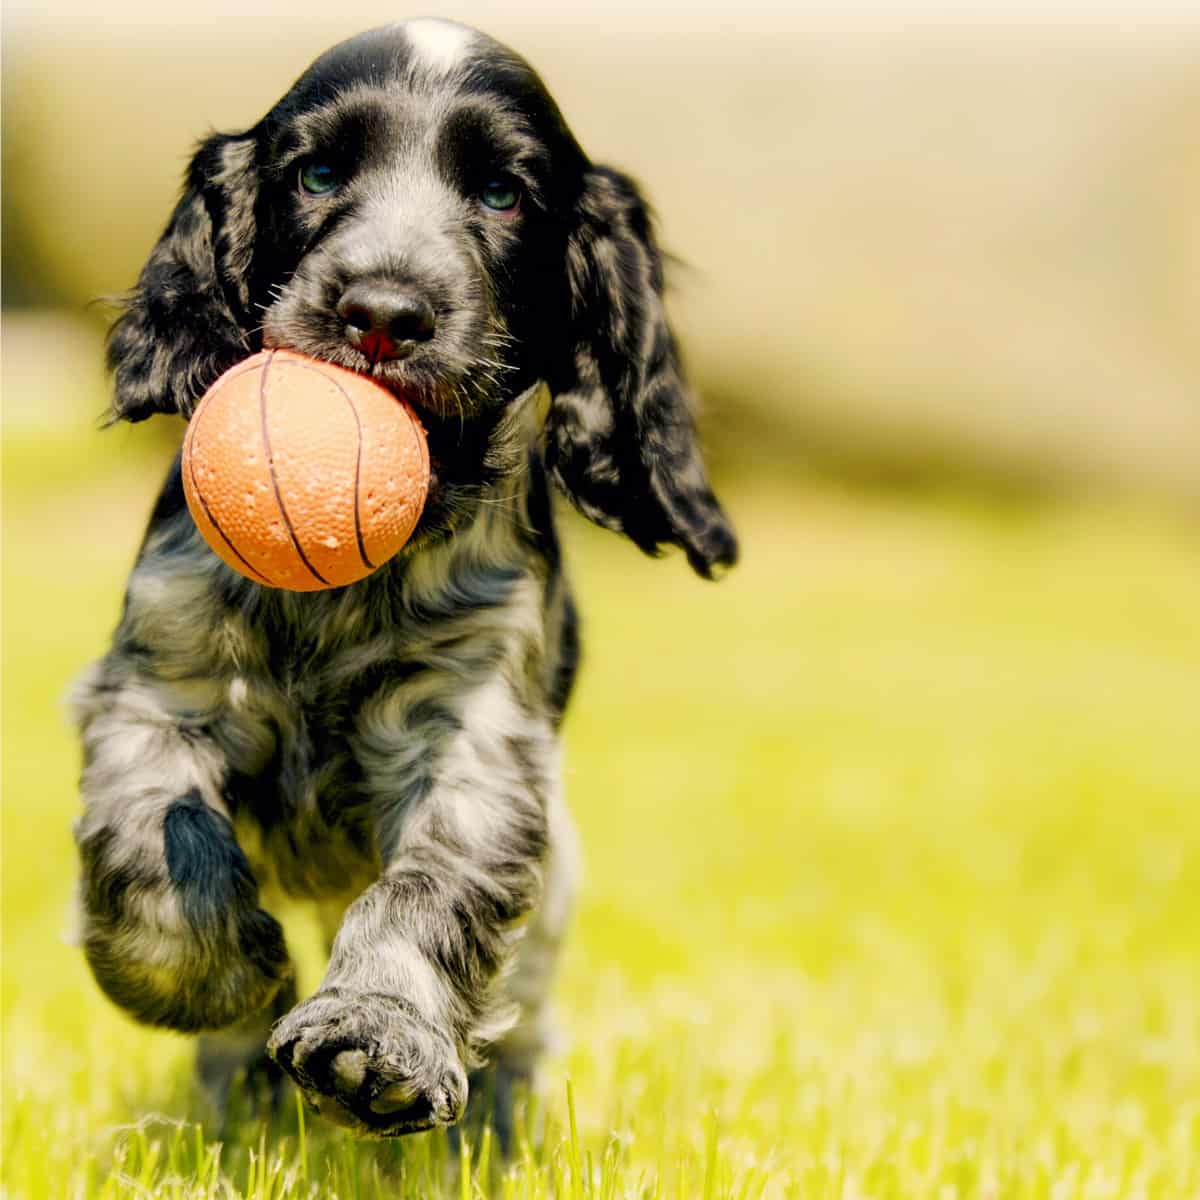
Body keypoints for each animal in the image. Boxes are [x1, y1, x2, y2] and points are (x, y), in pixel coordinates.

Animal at [72, 21, 739, 1142]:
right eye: (317, 174)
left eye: (503, 193)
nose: (382, 312)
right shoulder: (161, 681)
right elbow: (155, 831)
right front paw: (210, 978)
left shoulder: (472, 732)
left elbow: (429, 887)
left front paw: (376, 1039)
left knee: (524, 1003)